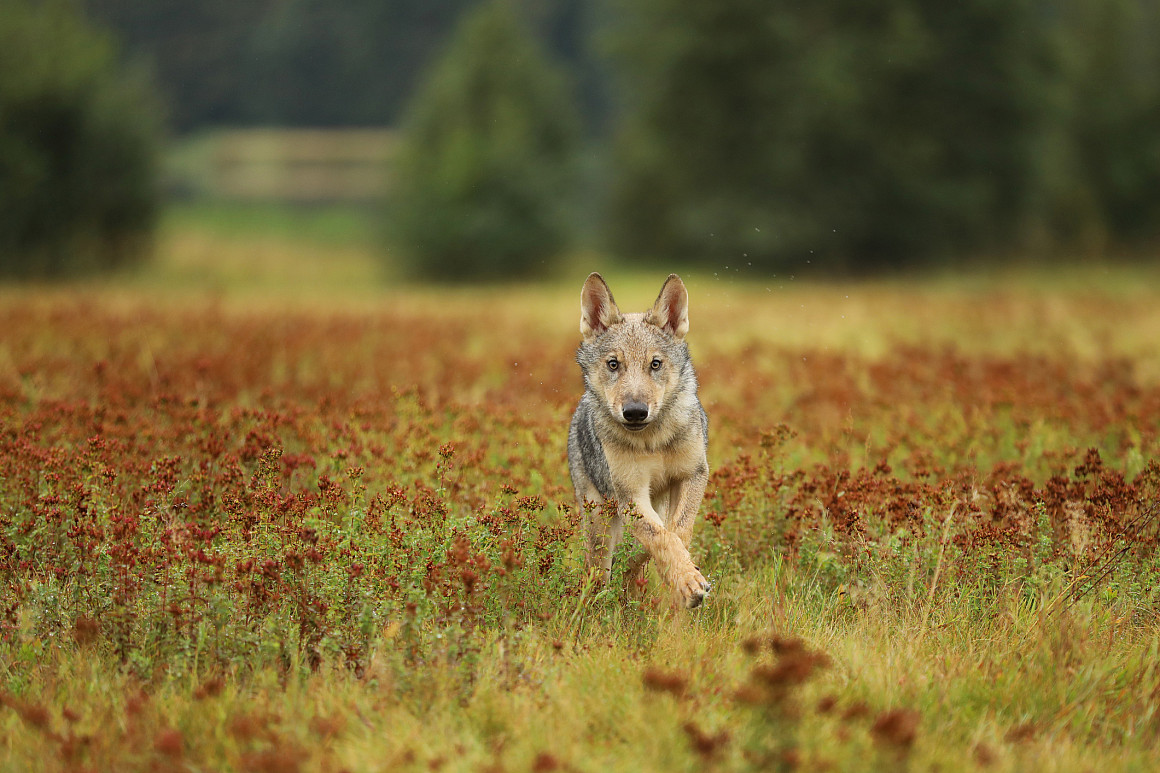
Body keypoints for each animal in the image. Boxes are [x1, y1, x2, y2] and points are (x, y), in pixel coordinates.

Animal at [567, 272, 712, 608]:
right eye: (613, 364)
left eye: (655, 364)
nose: (634, 411)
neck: (652, 441)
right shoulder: (630, 496)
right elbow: (660, 536)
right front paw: (687, 581)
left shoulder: (693, 475)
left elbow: (677, 531)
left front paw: (685, 579)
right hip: (599, 519)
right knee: (600, 569)